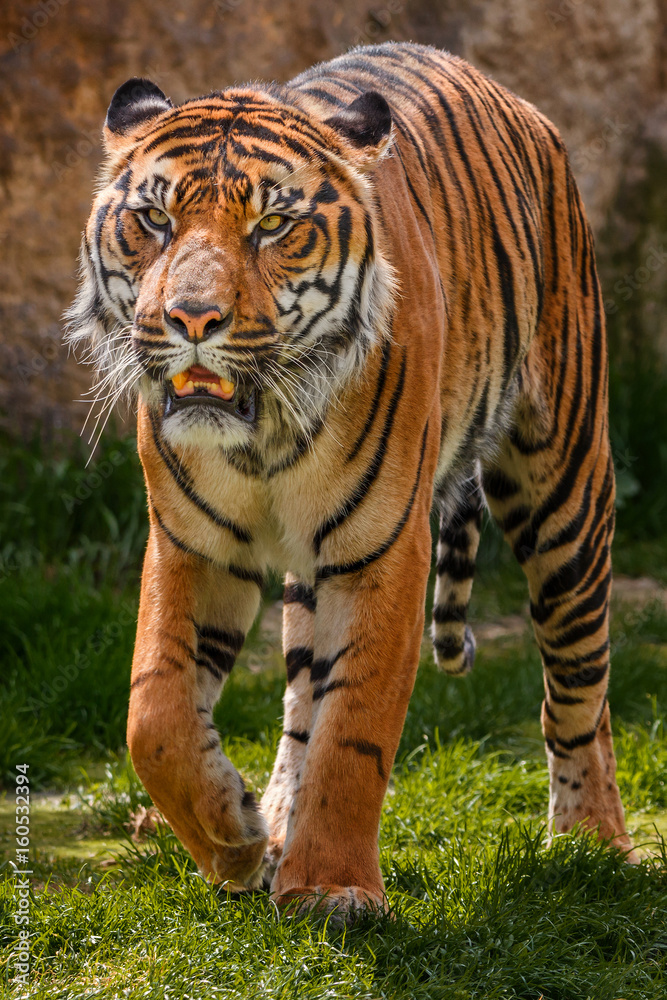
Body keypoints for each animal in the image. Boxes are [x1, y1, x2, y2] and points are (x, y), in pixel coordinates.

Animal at [66, 41, 638, 921]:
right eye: (155, 219)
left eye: (272, 225)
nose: (191, 320)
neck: (260, 435)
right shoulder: (191, 544)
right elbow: (154, 717)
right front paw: (235, 839)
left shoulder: (383, 551)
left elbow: (354, 729)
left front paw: (331, 887)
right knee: (299, 698)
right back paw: (273, 820)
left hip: (565, 487)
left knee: (579, 679)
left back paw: (591, 842)